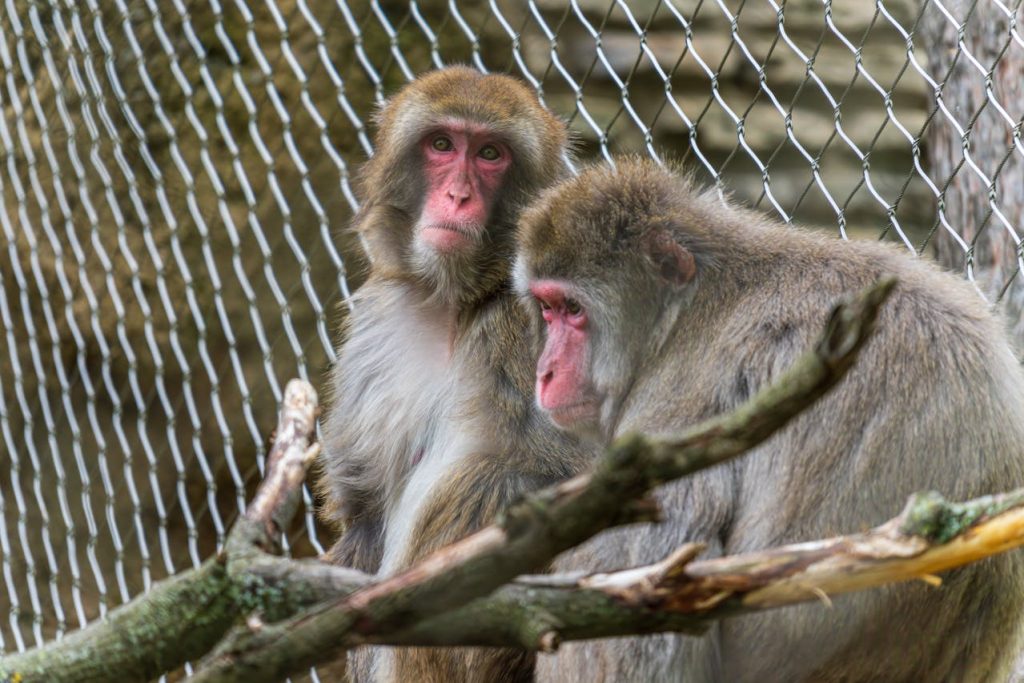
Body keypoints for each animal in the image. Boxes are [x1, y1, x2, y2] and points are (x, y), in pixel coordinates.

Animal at [315, 67, 595, 682]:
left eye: (490, 154)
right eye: (442, 144)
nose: (458, 195)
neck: (459, 300)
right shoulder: (378, 323)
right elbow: (365, 512)